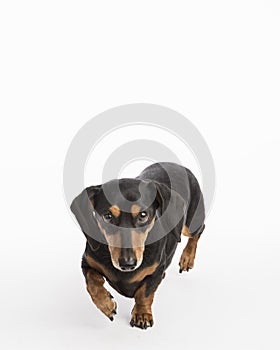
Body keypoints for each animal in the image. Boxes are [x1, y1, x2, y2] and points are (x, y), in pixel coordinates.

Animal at [71, 163, 205, 330]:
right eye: (107, 216)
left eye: (143, 215)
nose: (127, 264)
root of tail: (177, 165)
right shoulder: (87, 262)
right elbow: (92, 282)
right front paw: (107, 305)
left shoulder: (156, 271)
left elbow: (145, 293)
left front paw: (142, 314)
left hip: (190, 224)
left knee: (198, 232)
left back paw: (187, 258)